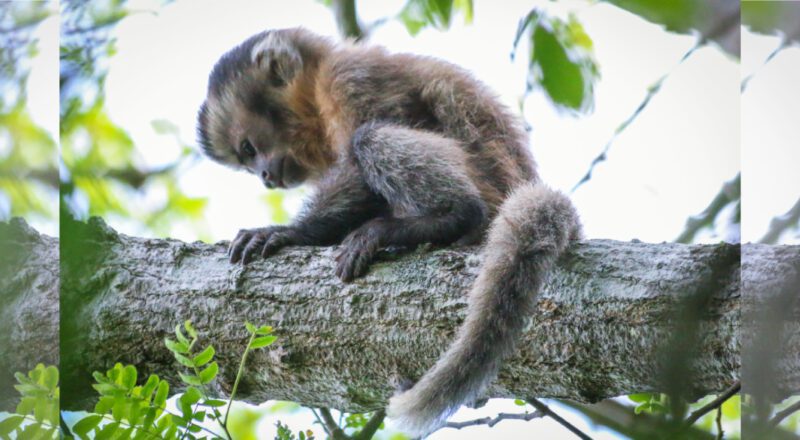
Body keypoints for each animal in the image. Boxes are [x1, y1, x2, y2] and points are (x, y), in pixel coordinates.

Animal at [197, 27, 582, 436]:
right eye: (246, 161)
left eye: (249, 148)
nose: (266, 177)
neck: (316, 87)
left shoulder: (350, 79)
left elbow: (360, 162)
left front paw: (291, 232)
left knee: (371, 137)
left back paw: (450, 217)